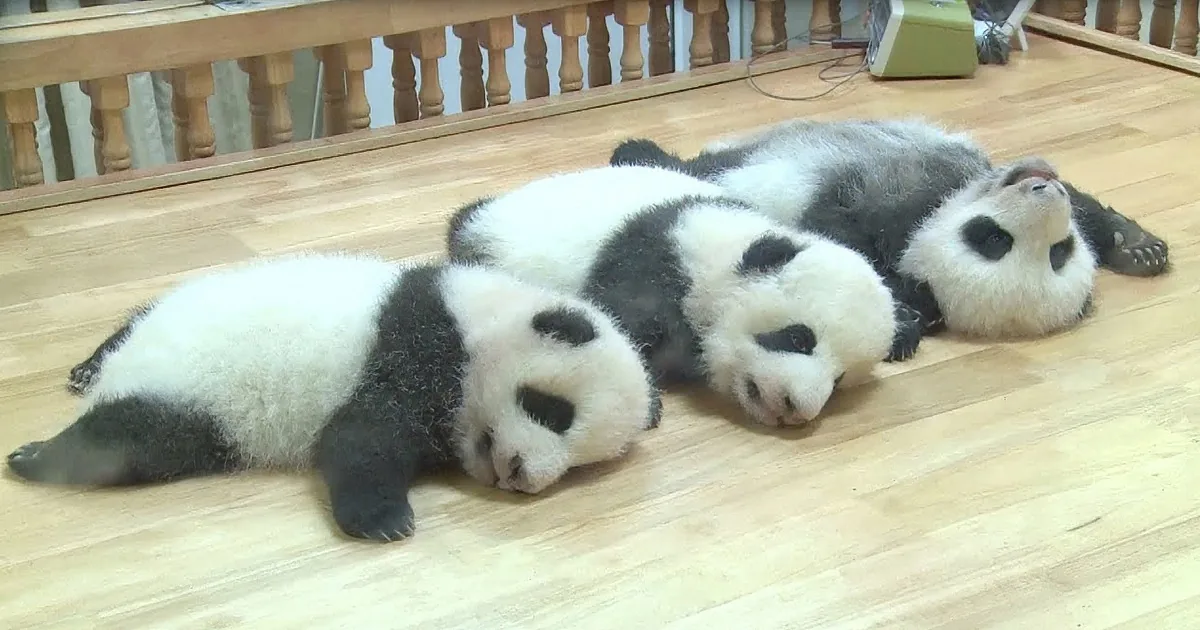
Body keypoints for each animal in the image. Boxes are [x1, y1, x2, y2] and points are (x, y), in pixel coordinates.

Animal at [7, 252, 662, 543]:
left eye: (579, 464)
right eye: (553, 410)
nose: (522, 473)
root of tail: (124, 366)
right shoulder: (415, 349)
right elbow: (359, 437)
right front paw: (384, 520)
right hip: (189, 390)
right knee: (124, 440)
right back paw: (34, 454)